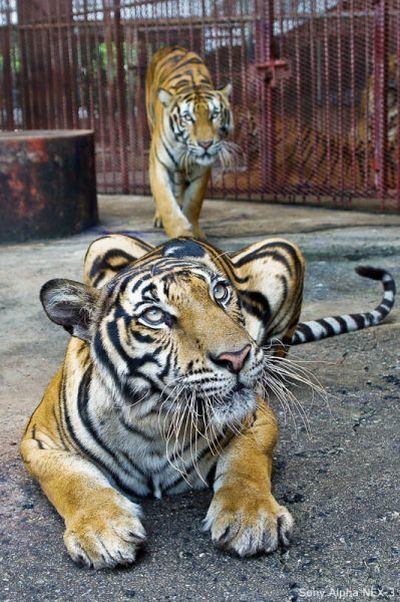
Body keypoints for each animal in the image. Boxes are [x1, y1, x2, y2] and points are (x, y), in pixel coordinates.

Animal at [20, 233, 396, 568]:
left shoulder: (257, 417)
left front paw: (251, 519)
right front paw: (101, 531)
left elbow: (246, 463)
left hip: (285, 252)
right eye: (154, 316)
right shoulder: (38, 441)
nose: (238, 356)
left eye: (220, 292)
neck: (153, 419)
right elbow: (73, 479)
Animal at [146, 45, 234, 238]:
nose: (206, 144)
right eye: (188, 118)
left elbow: (194, 202)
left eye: (214, 115)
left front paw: (195, 232)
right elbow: (166, 202)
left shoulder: (202, 170)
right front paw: (180, 234)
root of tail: (171, 46)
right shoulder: (159, 165)